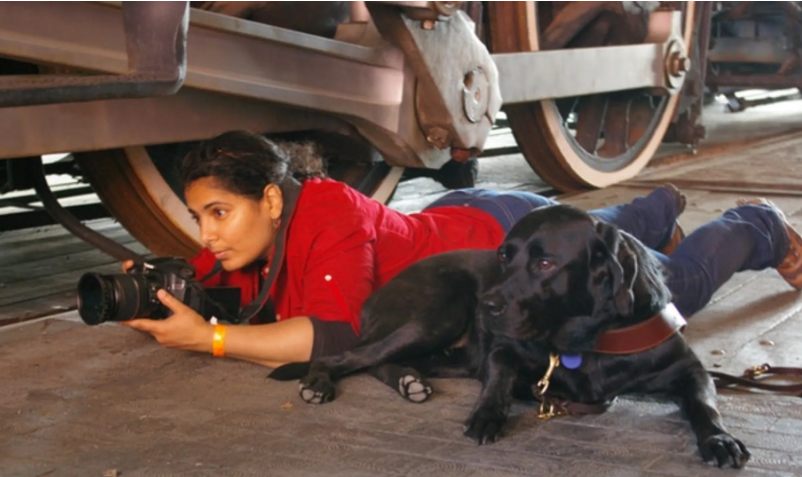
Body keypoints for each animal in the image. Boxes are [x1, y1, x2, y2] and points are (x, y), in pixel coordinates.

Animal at [270, 203, 752, 466]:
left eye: (545, 263)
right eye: (503, 255)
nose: (486, 306)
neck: (585, 342)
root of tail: (379, 292)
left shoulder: (690, 371)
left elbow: (704, 406)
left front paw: (719, 439)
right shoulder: (503, 351)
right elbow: (499, 377)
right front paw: (487, 415)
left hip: (445, 349)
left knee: (383, 361)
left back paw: (410, 382)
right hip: (435, 315)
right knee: (346, 357)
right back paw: (319, 384)